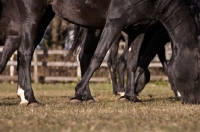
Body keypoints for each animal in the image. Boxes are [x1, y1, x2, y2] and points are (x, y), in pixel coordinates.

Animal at [0, 0, 199, 104]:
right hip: (33, 13)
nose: (194, 101)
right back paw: (29, 97)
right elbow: (98, 57)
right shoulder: (115, 21)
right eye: (198, 75)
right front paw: (77, 93)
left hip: (47, 14)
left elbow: (133, 63)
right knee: (25, 52)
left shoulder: (139, 29)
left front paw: (130, 96)